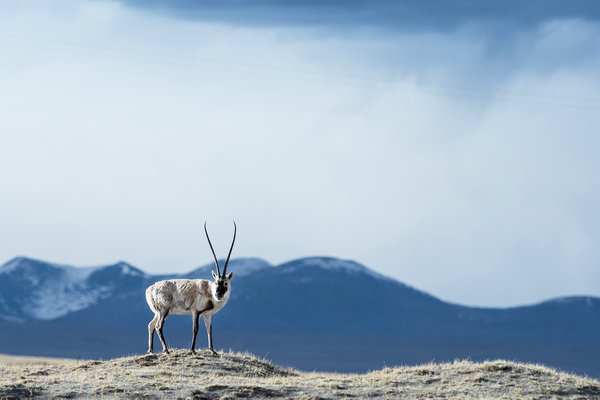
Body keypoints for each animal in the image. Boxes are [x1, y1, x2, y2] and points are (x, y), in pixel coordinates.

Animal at [146, 220, 237, 354]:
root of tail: (150, 289)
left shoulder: (207, 314)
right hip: (164, 310)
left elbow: (209, 329)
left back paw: (151, 350)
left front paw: (213, 350)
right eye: (216, 282)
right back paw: (166, 350)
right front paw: (193, 350)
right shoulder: (196, 312)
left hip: (157, 312)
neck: (209, 291)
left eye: (225, 283)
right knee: (158, 326)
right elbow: (195, 329)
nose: (218, 294)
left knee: (151, 325)